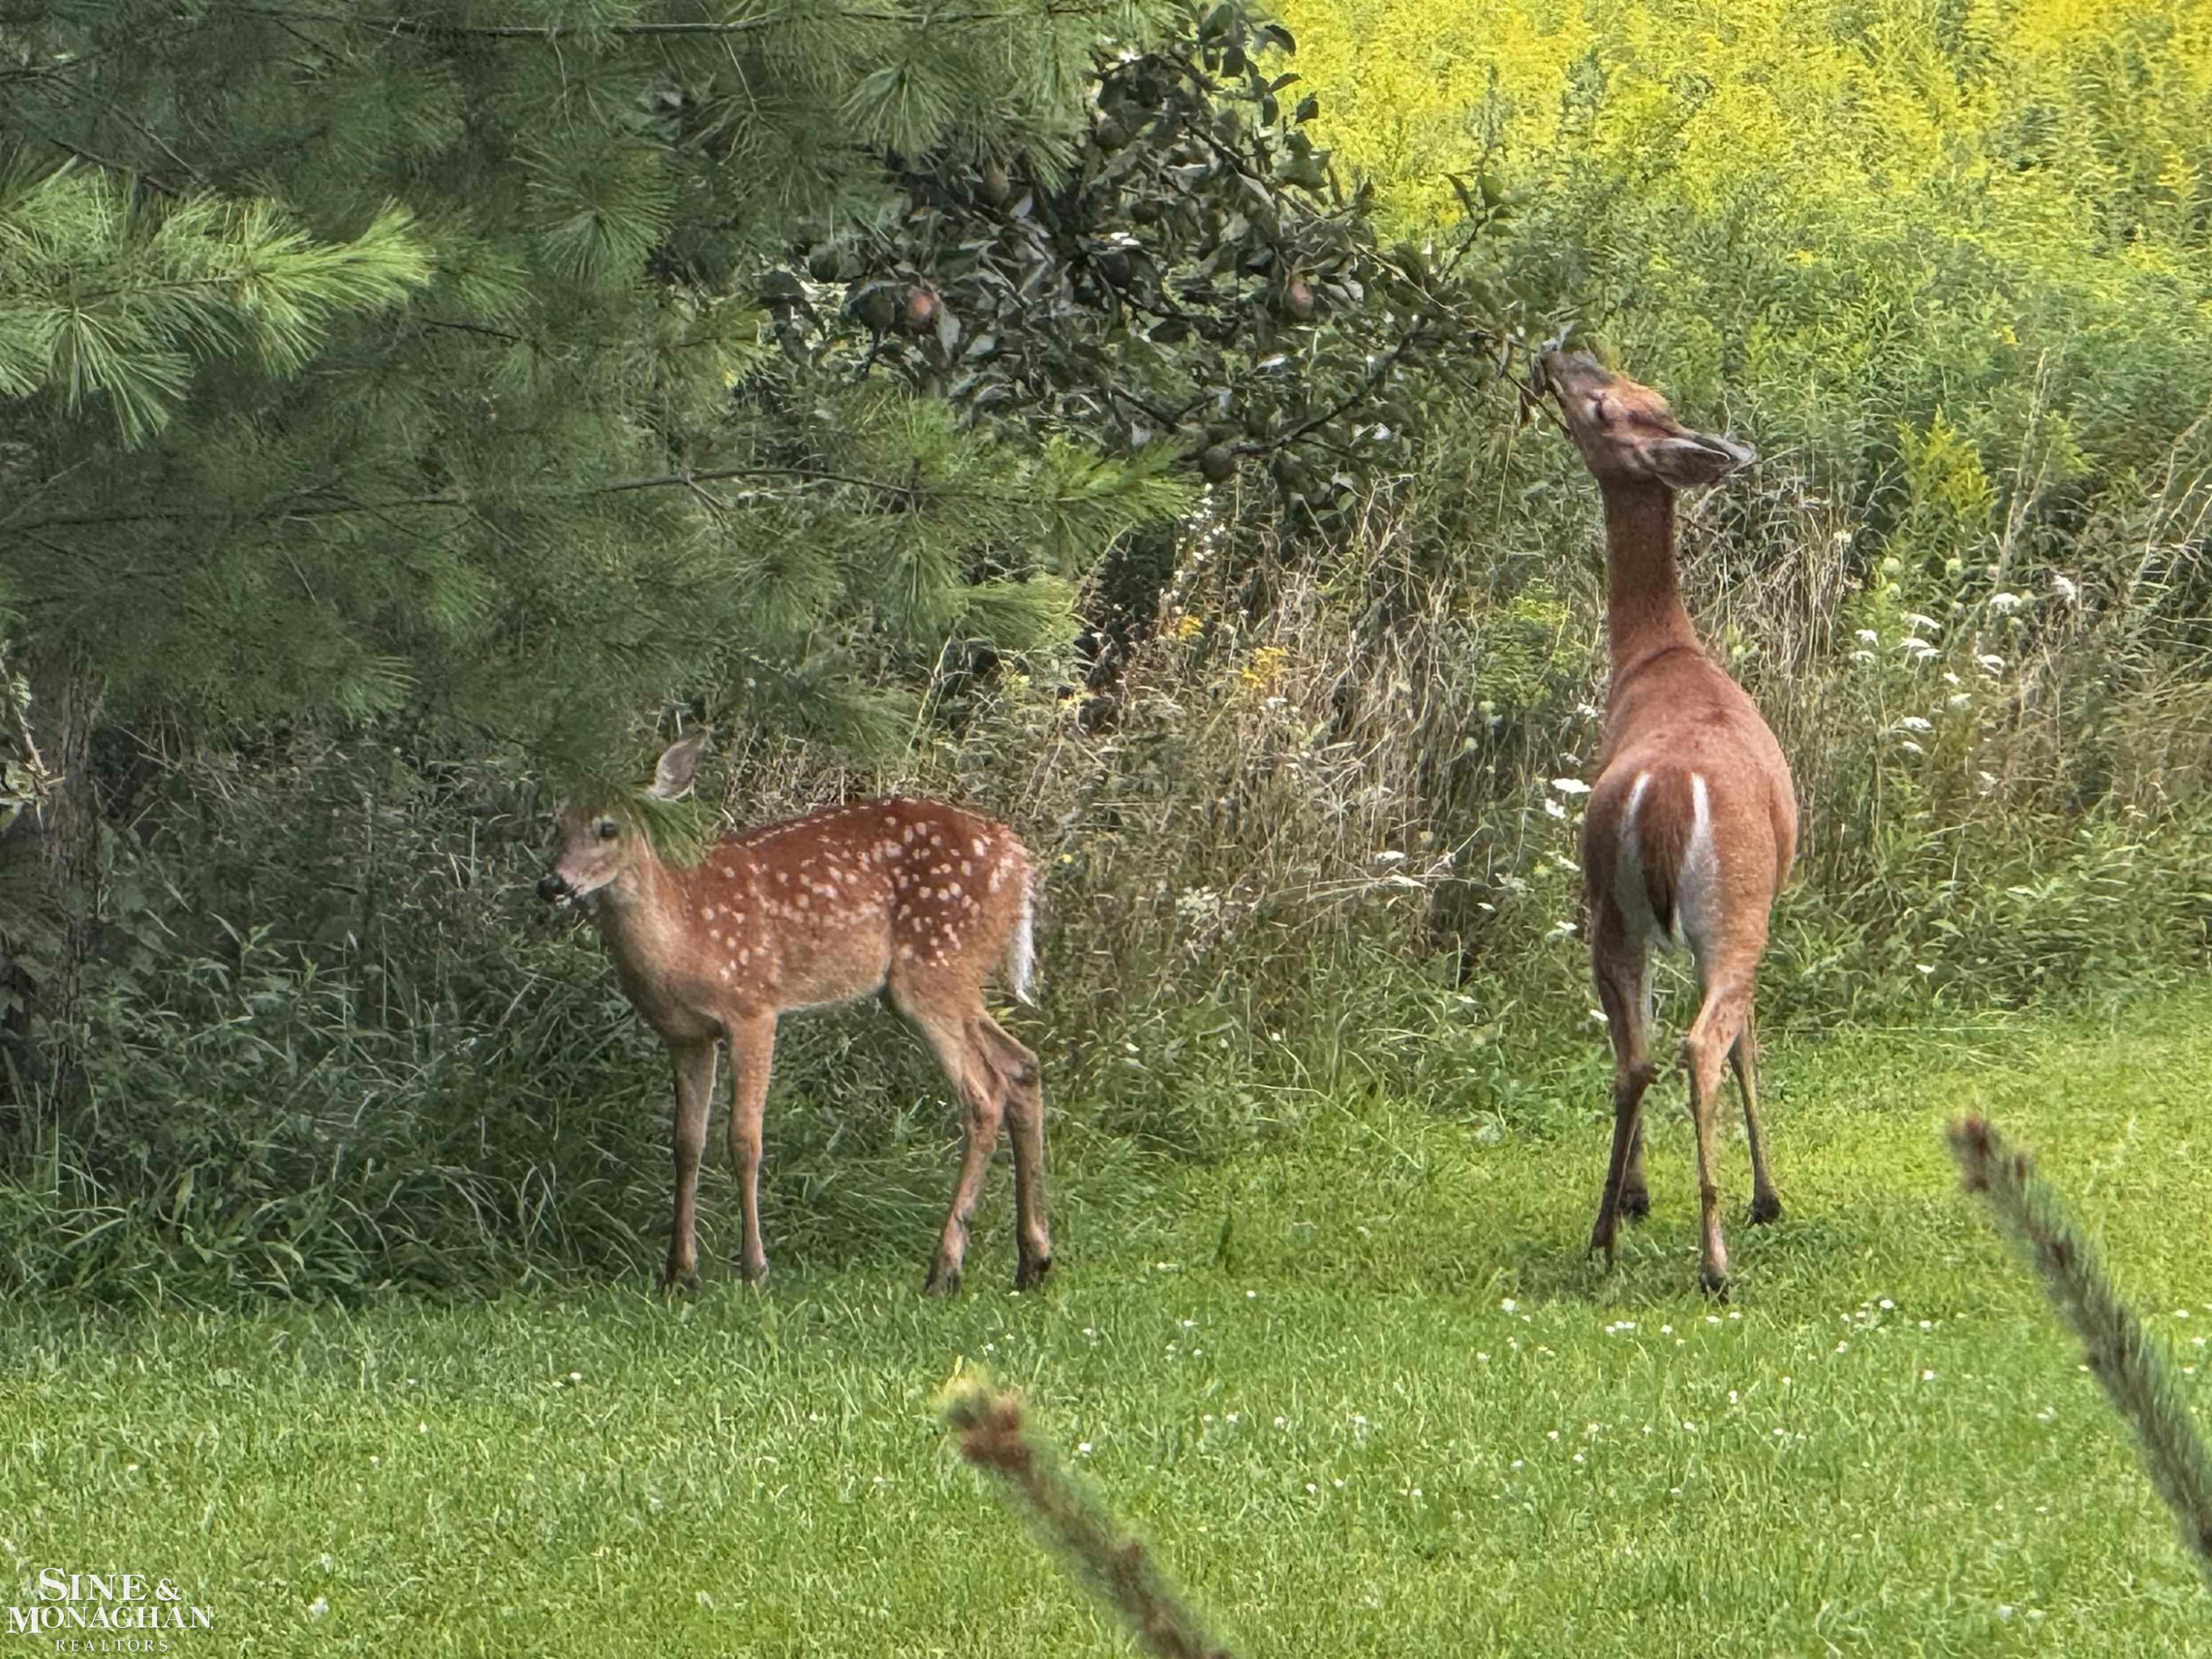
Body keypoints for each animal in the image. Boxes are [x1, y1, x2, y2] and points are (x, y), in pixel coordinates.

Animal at [536, 732, 1051, 1297]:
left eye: (609, 827)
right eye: (556, 824)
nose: (552, 885)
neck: (683, 938)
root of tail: (1019, 860)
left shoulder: (754, 1006)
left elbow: (744, 1139)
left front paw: (753, 1268)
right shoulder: (685, 1035)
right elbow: (686, 1143)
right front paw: (679, 1272)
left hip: (934, 968)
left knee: (982, 1095)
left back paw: (945, 1269)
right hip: (935, 985)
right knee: (1022, 1065)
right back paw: (1033, 1261)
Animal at [1538, 349, 1797, 1296]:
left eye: (1614, 400)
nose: (1559, 355)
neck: (1663, 655)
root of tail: (1665, 792)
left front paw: (1644, 1196)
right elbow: (1753, 1043)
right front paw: (1767, 1196)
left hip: (1609, 903)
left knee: (1636, 1053)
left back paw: (1608, 1229)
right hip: (1734, 903)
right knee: (1703, 1042)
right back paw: (1713, 1256)